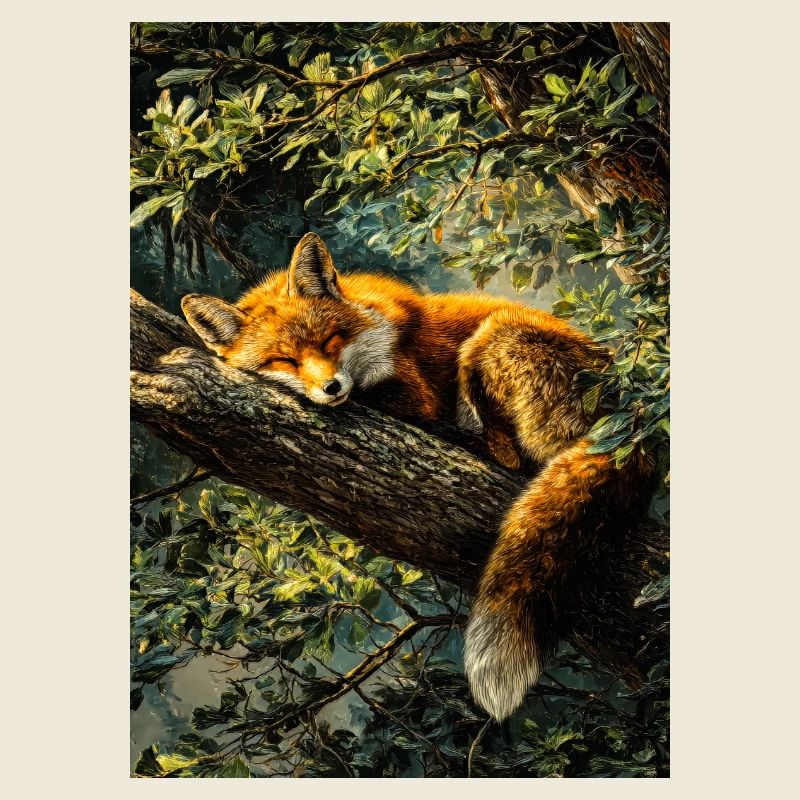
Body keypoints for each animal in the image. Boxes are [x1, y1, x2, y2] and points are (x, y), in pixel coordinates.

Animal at [182, 232, 649, 722]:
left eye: (330, 340)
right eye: (283, 359)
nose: (331, 388)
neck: (375, 330)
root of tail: (632, 421)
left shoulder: (414, 393)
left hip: (492, 337)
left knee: (513, 457)